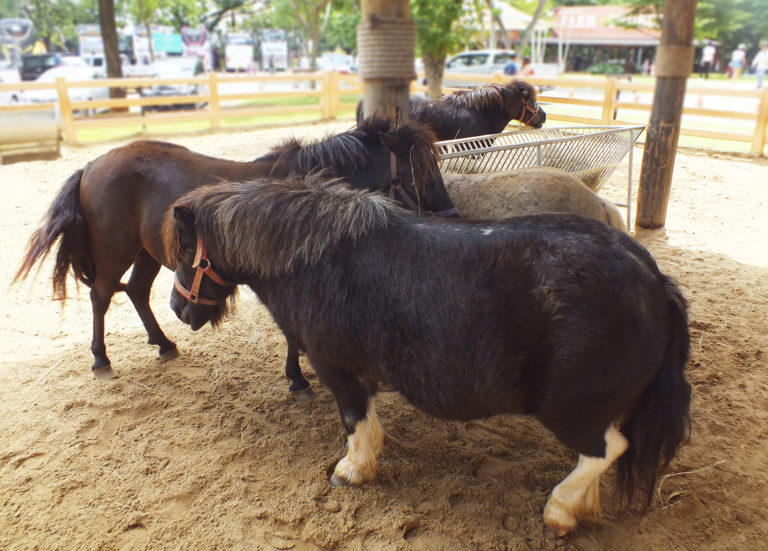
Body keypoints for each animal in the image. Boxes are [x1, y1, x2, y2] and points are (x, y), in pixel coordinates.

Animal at [14, 117, 458, 387]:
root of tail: (91, 165)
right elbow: (293, 333)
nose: (453, 217)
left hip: (146, 252)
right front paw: (297, 379)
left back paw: (163, 343)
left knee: (137, 291)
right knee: (101, 296)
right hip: (114, 251)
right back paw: (101, 359)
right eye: (423, 177)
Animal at [164, 174, 691, 536]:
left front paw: (352, 470)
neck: (315, 257)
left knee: (607, 449)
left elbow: (353, 419)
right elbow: (369, 419)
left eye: (188, 251)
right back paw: (582, 508)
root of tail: (652, 278)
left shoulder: (336, 367)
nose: (176, 308)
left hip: (571, 408)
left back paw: (560, 510)